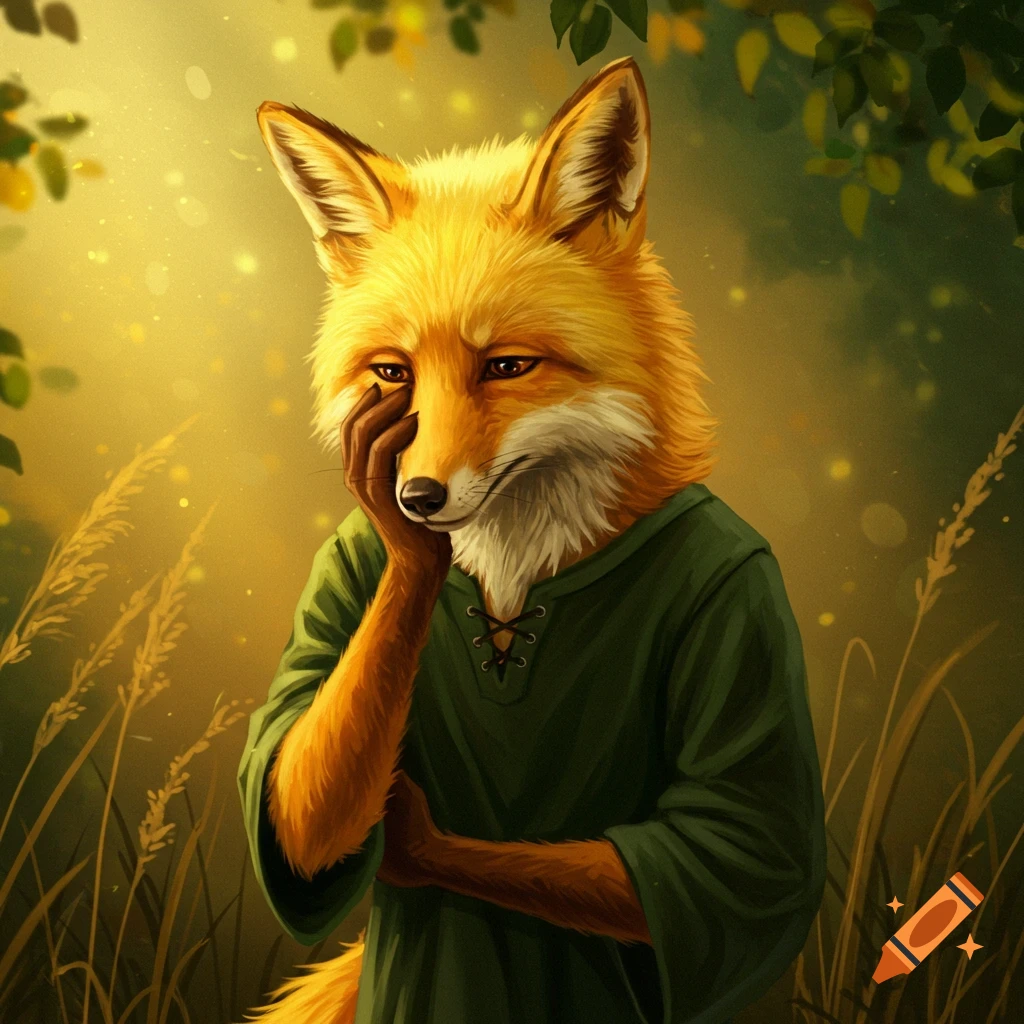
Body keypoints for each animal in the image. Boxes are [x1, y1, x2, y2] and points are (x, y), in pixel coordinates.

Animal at [242, 54, 824, 1024]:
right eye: (392, 373)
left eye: (507, 366)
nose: (417, 497)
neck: (516, 569)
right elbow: (296, 807)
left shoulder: (743, 590)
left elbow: (732, 855)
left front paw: (420, 842)